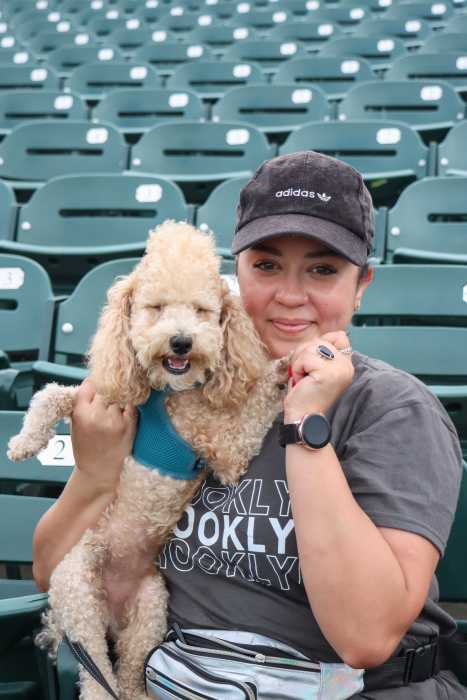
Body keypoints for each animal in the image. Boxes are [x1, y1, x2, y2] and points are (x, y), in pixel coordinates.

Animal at [8, 221, 287, 700]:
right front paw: (24, 442)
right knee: (96, 676)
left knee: (127, 672)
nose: (181, 341)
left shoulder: (229, 450)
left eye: (201, 310)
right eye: (155, 308)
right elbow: (50, 394)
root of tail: (113, 612)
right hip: (77, 589)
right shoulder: (105, 393)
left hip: (152, 605)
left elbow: (253, 406)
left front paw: (285, 369)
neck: (171, 394)